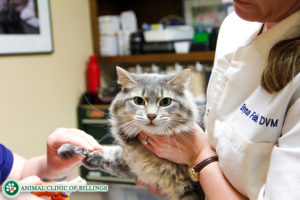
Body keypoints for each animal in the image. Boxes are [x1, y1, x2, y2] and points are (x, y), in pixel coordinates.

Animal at [57, 67, 205, 200]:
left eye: (165, 102)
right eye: (139, 101)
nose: (151, 115)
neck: (146, 152)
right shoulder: (132, 163)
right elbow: (103, 152)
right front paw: (71, 148)